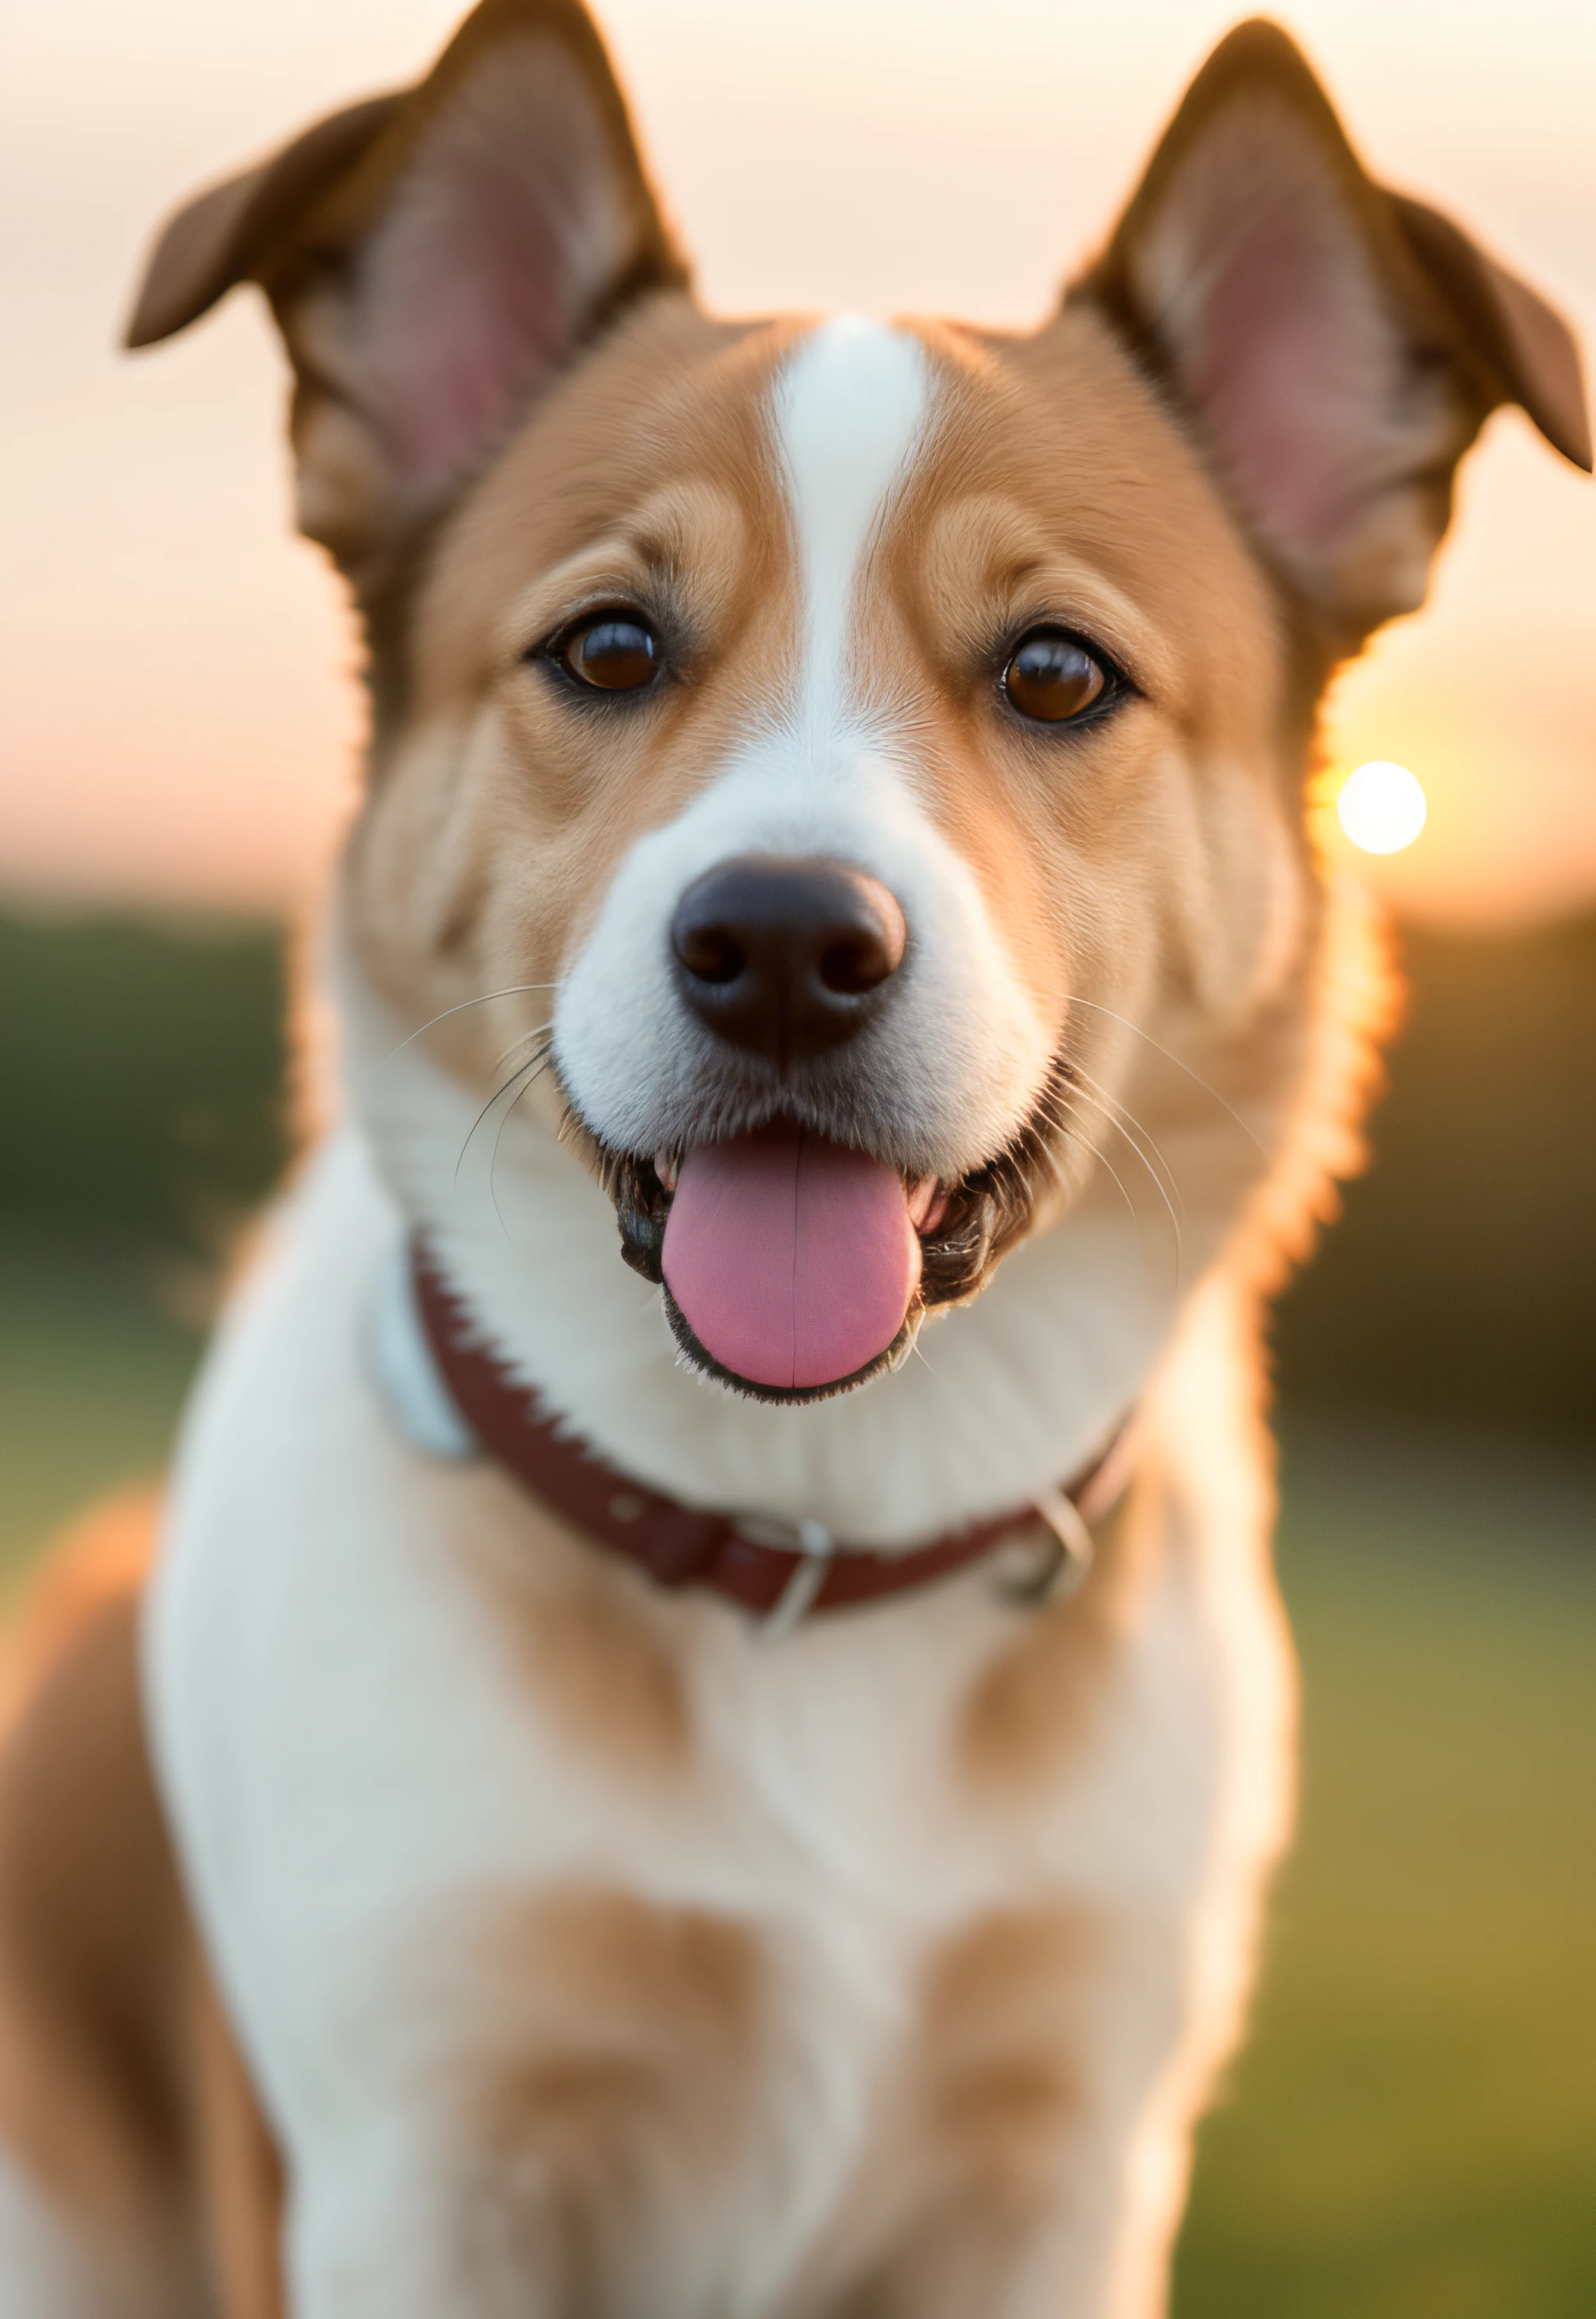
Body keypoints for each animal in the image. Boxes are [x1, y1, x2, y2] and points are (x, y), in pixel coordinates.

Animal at [0, 9, 1587, 2310]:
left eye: (1054, 671)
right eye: (606, 647)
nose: (777, 949)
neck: (811, 1531)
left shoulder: (1060, 2175)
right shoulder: (415, 2159)